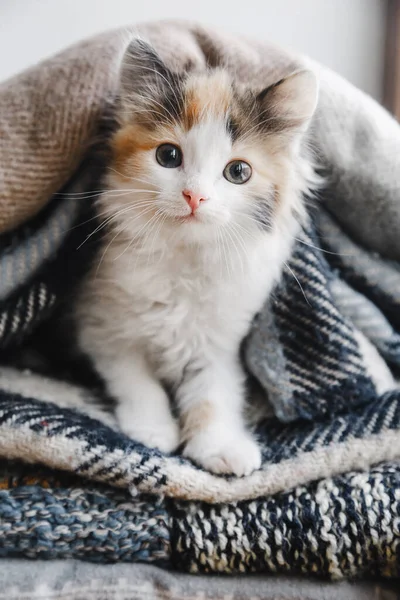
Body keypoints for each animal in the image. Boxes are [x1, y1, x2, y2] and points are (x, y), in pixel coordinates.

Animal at [75, 38, 318, 478]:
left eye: (238, 172)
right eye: (169, 157)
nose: (195, 197)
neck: (185, 260)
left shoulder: (219, 342)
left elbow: (213, 392)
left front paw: (220, 446)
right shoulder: (101, 324)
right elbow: (136, 378)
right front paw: (153, 429)